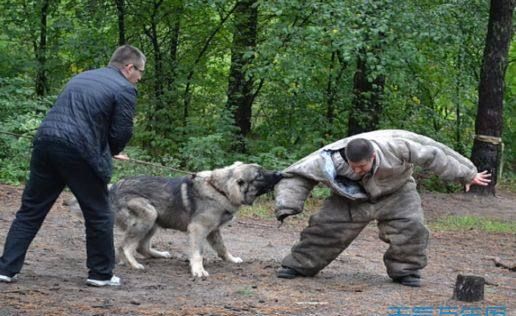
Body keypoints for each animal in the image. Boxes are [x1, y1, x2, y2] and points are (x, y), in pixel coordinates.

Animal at [69, 162, 282, 278]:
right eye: (259, 175)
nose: (279, 173)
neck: (219, 189)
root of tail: (113, 187)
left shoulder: (213, 231)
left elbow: (222, 248)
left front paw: (231, 259)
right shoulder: (198, 229)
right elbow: (197, 253)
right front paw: (198, 270)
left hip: (155, 220)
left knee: (142, 247)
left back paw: (159, 254)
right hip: (148, 215)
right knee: (125, 246)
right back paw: (133, 264)